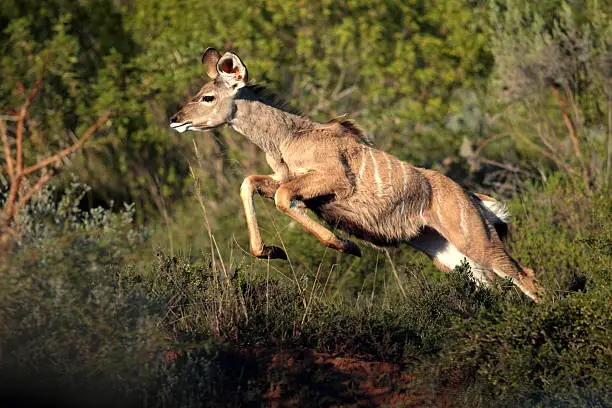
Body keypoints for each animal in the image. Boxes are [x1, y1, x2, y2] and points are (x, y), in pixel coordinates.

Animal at [170, 48, 544, 302]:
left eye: (208, 96)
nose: (175, 119)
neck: (289, 138)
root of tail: (473, 199)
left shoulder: (333, 181)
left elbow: (282, 197)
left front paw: (345, 245)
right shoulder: (283, 179)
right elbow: (251, 184)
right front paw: (272, 251)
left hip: (475, 240)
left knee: (526, 276)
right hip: (446, 252)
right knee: (492, 284)